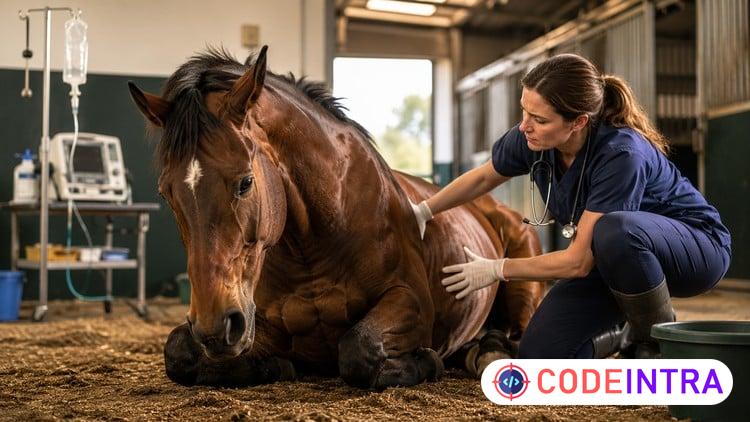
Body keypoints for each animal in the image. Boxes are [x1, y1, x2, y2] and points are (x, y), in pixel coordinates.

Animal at [128, 46, 545, 389]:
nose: (214, 327)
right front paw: (275, 366)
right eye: (166, 193)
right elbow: (178, 353)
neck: (313, 244)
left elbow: (358, 349)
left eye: (245, 182)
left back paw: (487, 352)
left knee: (514, 333)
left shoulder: (408, 300)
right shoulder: (254, 321)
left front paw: (426, 361)